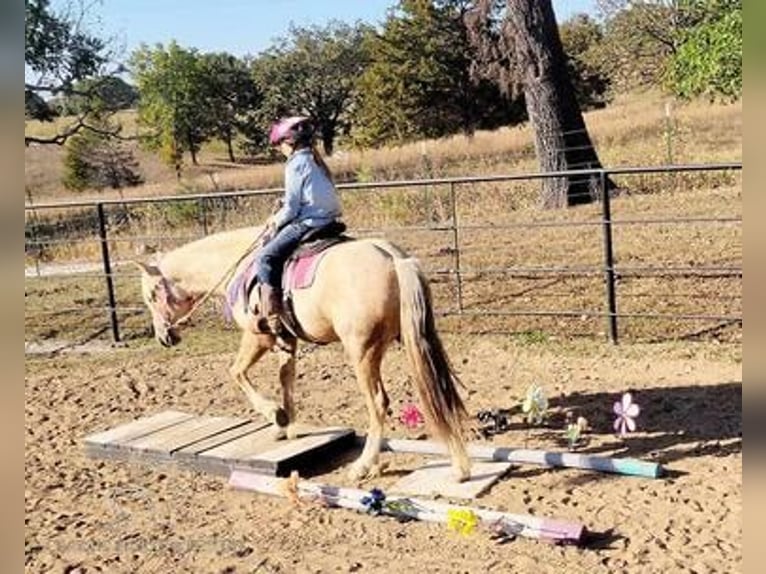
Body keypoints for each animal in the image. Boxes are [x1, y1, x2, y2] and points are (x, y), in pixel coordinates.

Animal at [136, 225, 474, 482]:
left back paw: (363, 466)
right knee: (435, 391)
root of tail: (392, 258)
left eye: (152, 295)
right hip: (413, 340)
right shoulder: (286, 341)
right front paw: (285, 427)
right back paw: (458, 467)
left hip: (362, 351)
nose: (165, 337)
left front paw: (275, 415)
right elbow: (285, 378)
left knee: (378, 403)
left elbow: (236, 372)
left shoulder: (258, 337)